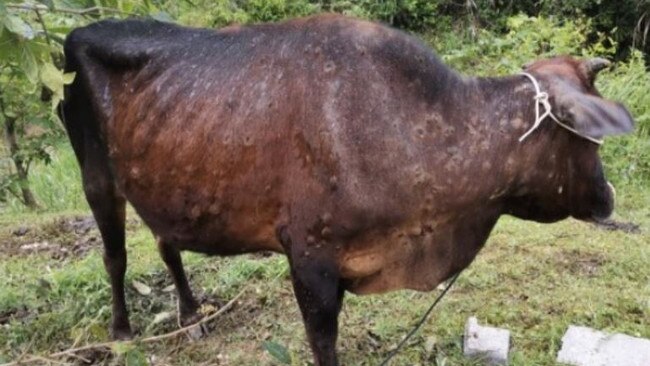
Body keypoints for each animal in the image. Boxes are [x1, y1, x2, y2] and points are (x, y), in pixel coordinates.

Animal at [59, 14, 628, 366]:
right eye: (591, 135)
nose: (609, 195)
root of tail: (79, 30)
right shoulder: (310, 259)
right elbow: (323, 343)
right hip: (95, 175)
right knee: (115, 255)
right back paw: (122, 331)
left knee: (165, 242)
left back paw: (193, 315)